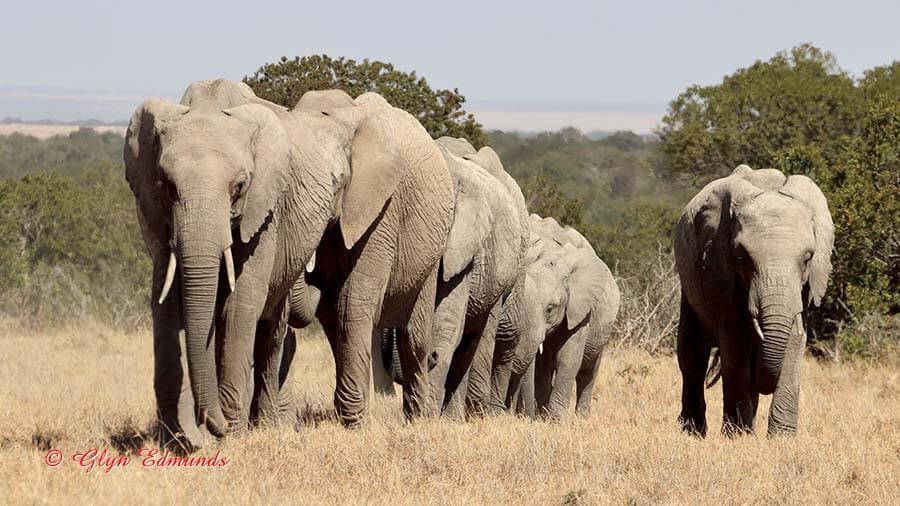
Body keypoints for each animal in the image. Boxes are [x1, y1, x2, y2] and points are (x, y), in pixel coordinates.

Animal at [125, 79, 454, 447]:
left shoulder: (374, 207)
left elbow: (249, 305)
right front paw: (179, 440)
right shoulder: (154, 210)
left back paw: (418, 417)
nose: (208, 426)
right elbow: (166, 302)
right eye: (165, 185)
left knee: (409, 335)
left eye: (240, 185)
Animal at [497, 215, 620, 419]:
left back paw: (581, 418)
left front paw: (555, 420)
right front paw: (542, 416)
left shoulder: (579, 310)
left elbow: (568, 358)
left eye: (550, 309)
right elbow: (542, 364)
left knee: (588, 373)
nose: (527, 416)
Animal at [674, 164, 834, 437]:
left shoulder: (803, 289)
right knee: (692, 354)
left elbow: (793, 341)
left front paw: (781, 438)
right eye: (741, 258)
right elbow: (735, 344)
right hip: (689, 286)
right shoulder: (720, 269)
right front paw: (737, 436)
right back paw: (692, 432)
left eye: (807, 259)